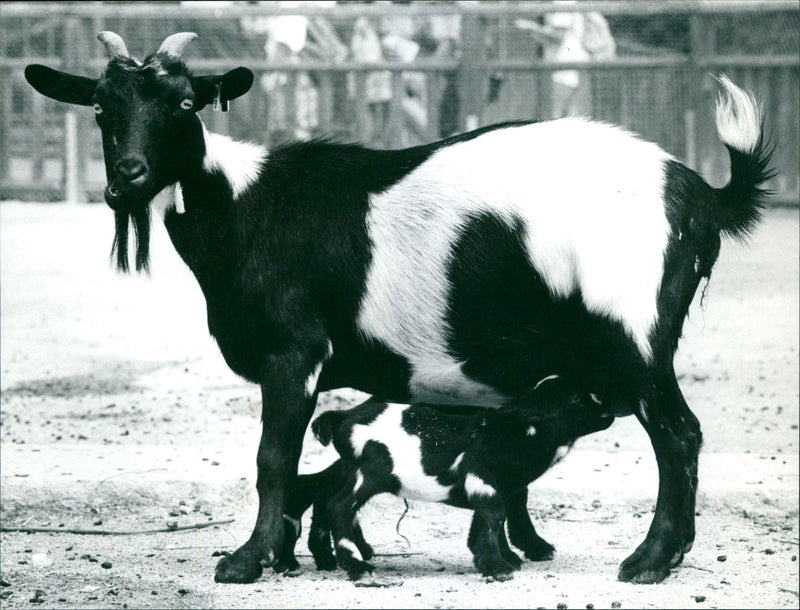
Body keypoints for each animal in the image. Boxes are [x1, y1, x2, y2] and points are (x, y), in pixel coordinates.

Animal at [276, 378, 614, 581]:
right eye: (576, 400)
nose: (609, 411)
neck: (517, 433)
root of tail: (344, 418)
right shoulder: (484, 481)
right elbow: (493, 519)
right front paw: (498, 567)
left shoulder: (495, 488)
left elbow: (490, 521)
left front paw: (497, 559)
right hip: (369, 473)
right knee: (338, 506)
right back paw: (356, 566)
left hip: (352, 471)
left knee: (321, 494)